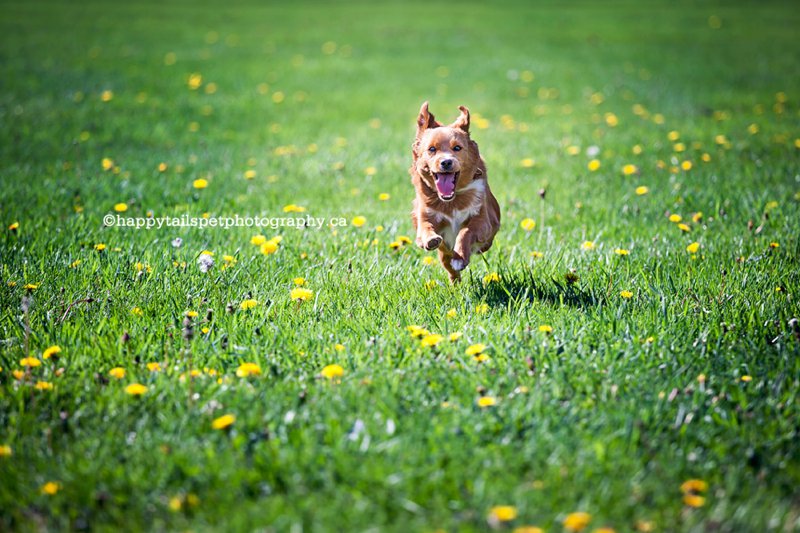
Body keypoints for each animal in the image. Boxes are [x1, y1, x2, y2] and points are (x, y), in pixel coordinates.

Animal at [412, 101, 500, 282]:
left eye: (457, 148)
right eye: (432, 149)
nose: (446, 162)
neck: (451, 200)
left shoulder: (482, 220)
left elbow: (465, 232)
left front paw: (460, 257)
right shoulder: (425, 215)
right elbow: (425, 228)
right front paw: (431, 239)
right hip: (444, 257)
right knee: (449, 267)